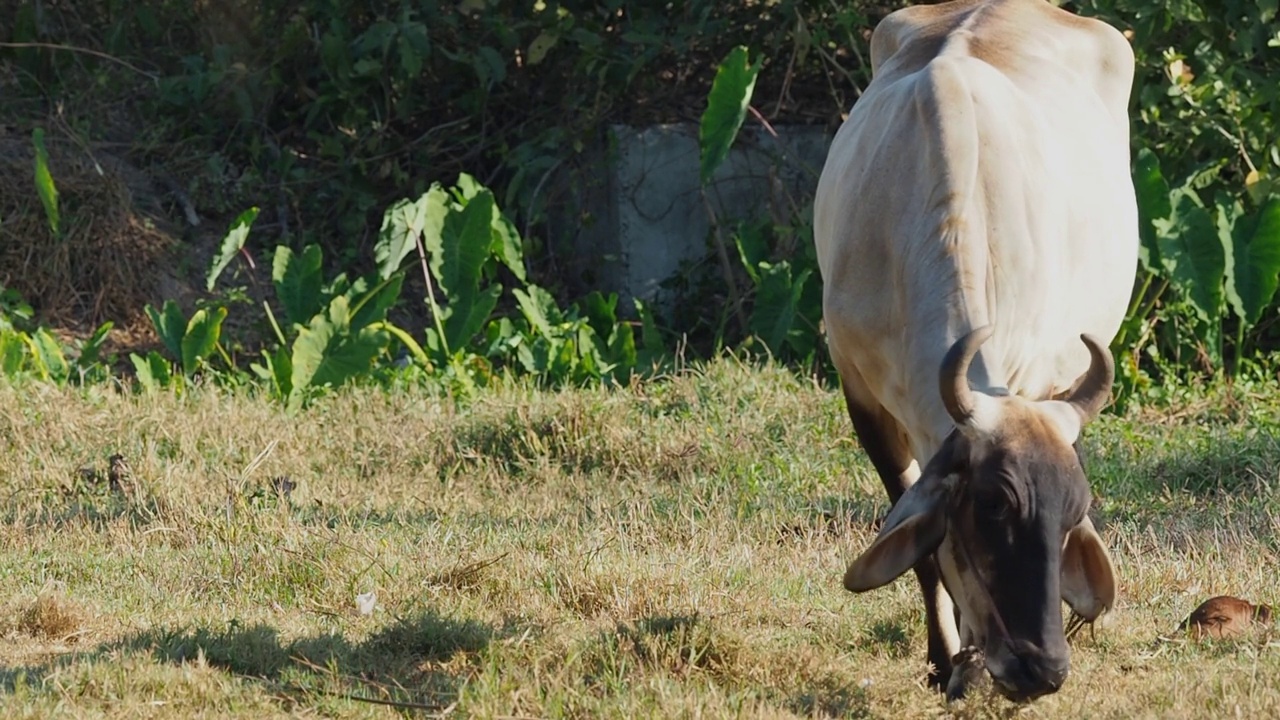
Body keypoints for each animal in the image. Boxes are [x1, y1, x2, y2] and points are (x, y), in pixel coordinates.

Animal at [814, 0, 1136, 702]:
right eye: (993, 507)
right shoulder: (861, 394)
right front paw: (947, 661)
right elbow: (923, 550)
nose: (1043, 669)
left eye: (1075, 513)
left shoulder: (1037, 381)